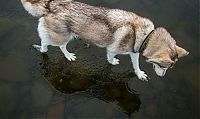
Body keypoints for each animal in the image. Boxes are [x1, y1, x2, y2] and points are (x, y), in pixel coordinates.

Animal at [20, 0, 189, 81]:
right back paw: (59, 53)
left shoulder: (134, 52)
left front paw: (139, 74)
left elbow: (136, 65)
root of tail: (51, 4)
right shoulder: (112, 50)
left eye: (169, 68)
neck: (146, 35)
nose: (162, 77)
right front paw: (112, 62)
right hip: (62, 36)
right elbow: (110, 59)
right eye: (163, 66)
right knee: (52, 44)